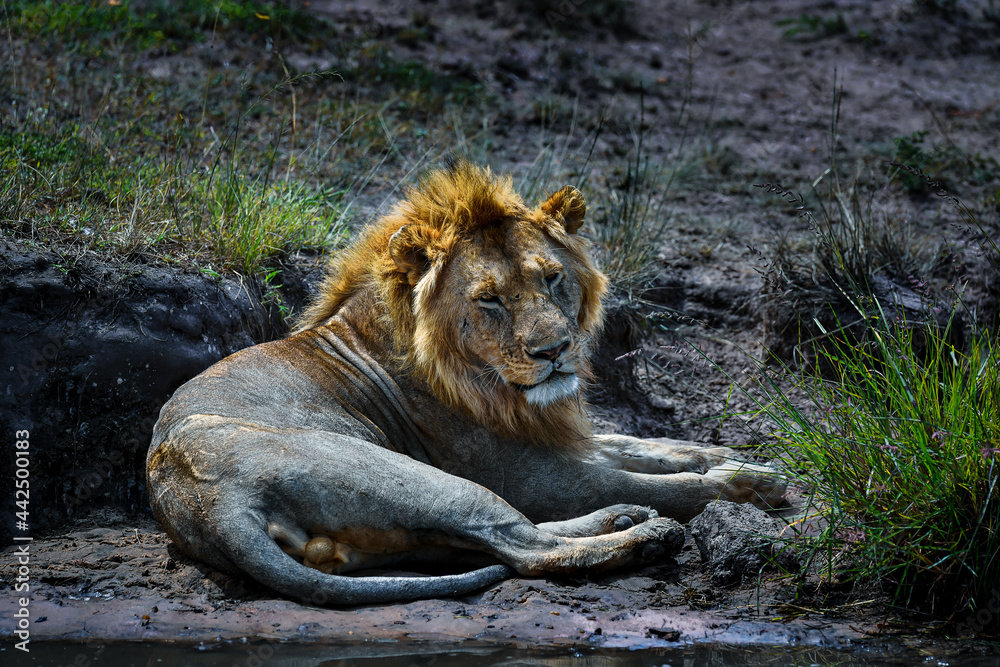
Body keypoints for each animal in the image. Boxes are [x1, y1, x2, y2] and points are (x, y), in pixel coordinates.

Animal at [146, 159, 785, 605]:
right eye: (490, 300)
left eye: (552, 278)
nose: (556, 351)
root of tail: (209, 503)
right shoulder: (534, 472)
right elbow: (670, 485)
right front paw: (753, 485)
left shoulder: (554, 436)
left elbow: (646, 446)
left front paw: (732, 457)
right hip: (420, 476)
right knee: (527, 546)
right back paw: (643, 535)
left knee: (501, 537)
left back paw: (625, 518)